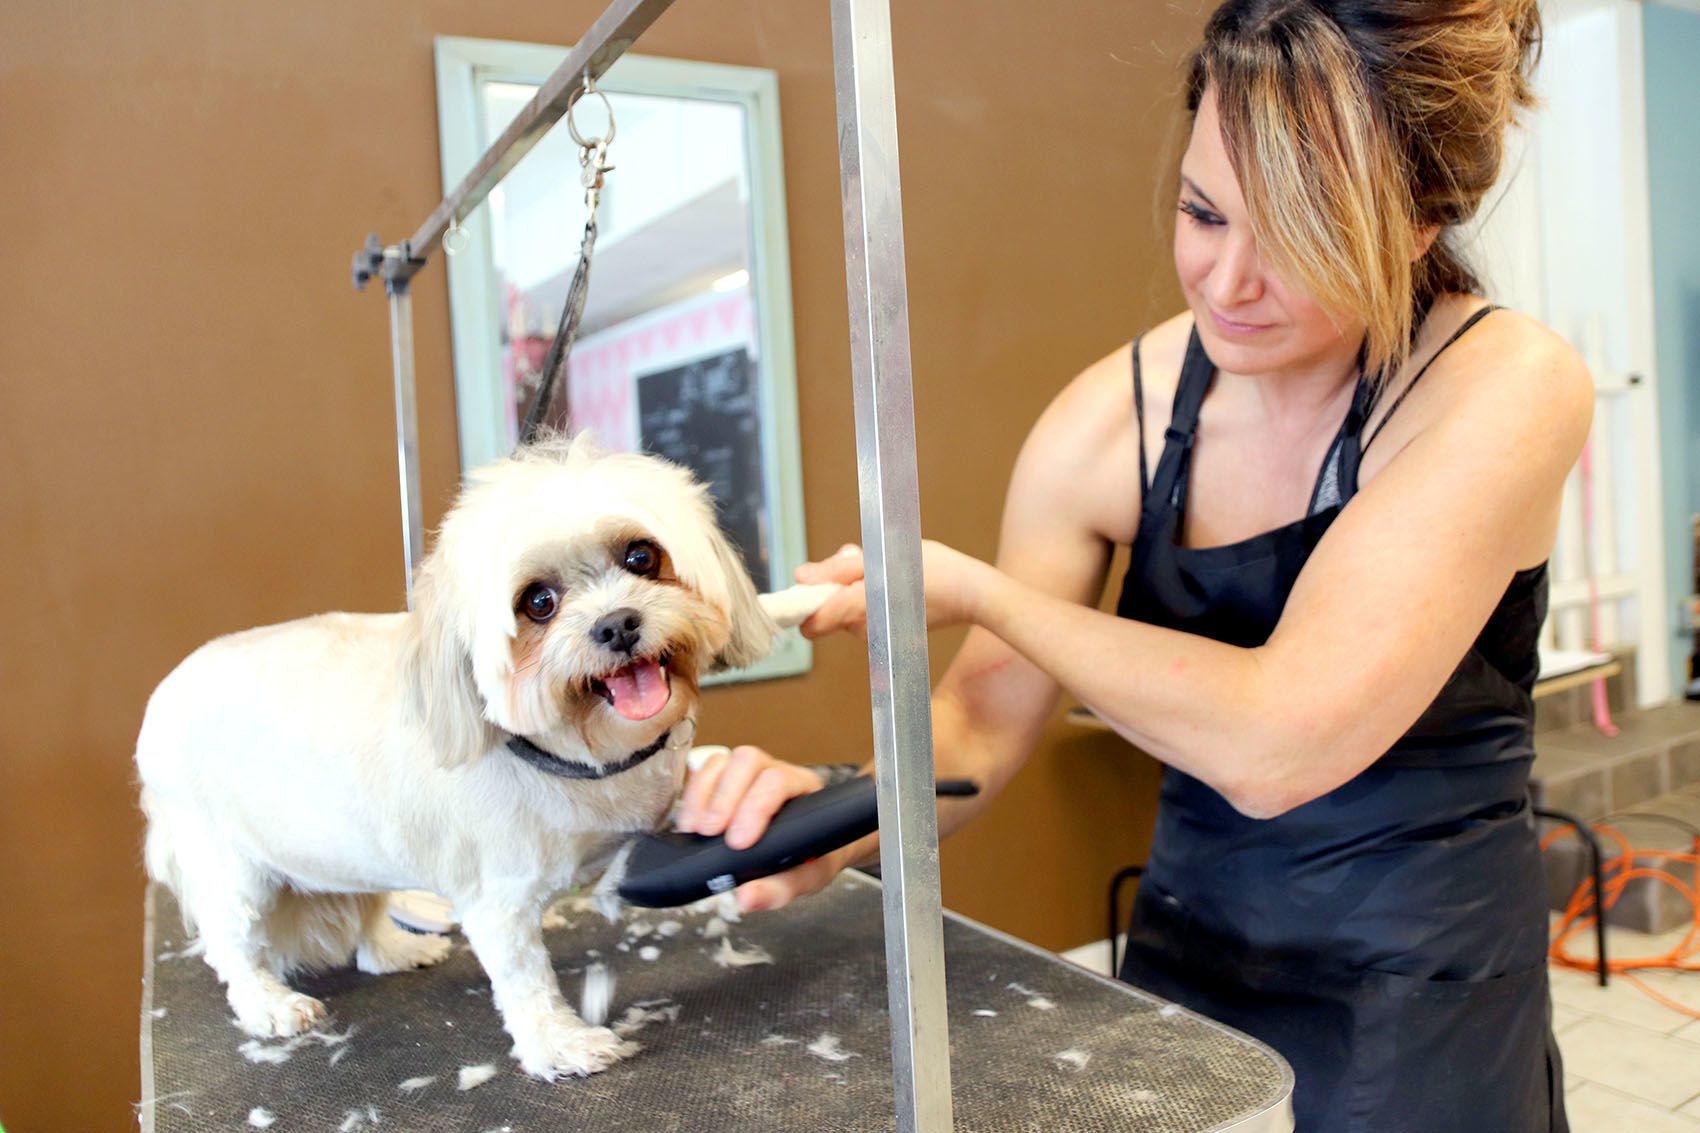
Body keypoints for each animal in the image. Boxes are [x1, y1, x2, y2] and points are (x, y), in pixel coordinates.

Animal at [136, 432, 785, 1075]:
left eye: (641, 557)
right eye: (539, 602)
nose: (618, 624)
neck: (582, 758)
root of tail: (160, 702)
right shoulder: (497, 901)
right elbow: (525, 980)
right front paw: (561, 1045)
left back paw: (395, 948)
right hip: (228, 864)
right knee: (233, 944)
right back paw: (268, 1005)